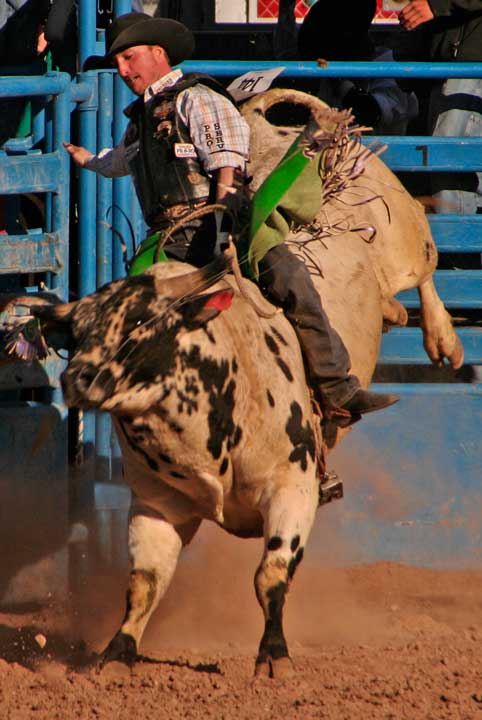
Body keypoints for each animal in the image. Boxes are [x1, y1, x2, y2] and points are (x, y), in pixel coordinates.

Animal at [3, 88, 464, 676]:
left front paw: (274, 657)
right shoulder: (158, 505)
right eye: (80, 331)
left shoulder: (294, 488)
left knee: (426, 271)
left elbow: (270, 575)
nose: (77, 377)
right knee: (394, 303)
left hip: (404, 232)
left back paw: (443, 342)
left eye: (141, 321)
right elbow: (145, 582)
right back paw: (399, 318)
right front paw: (117, 651)